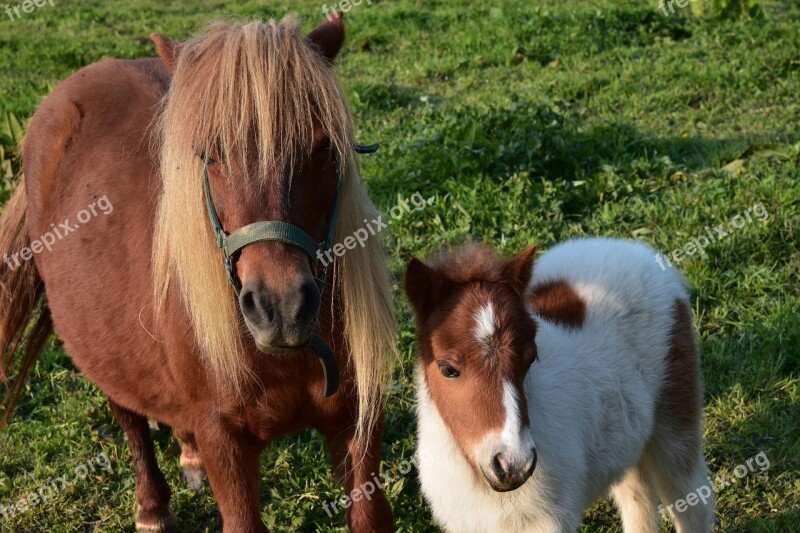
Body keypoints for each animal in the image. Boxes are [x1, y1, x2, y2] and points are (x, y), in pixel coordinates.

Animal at [0, 12, 396, 532]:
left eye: (324, 147)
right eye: (210, 155)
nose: (282, 308)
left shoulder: (356, 426)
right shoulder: (224, 441)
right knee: (127, 412)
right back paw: (151, 507)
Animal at [406, 238, 712, 532]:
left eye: (531, 358)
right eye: (448, 369)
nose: (514, 464)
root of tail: (639, 251)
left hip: (675, 418)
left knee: (692, 496)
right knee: (637, 497)